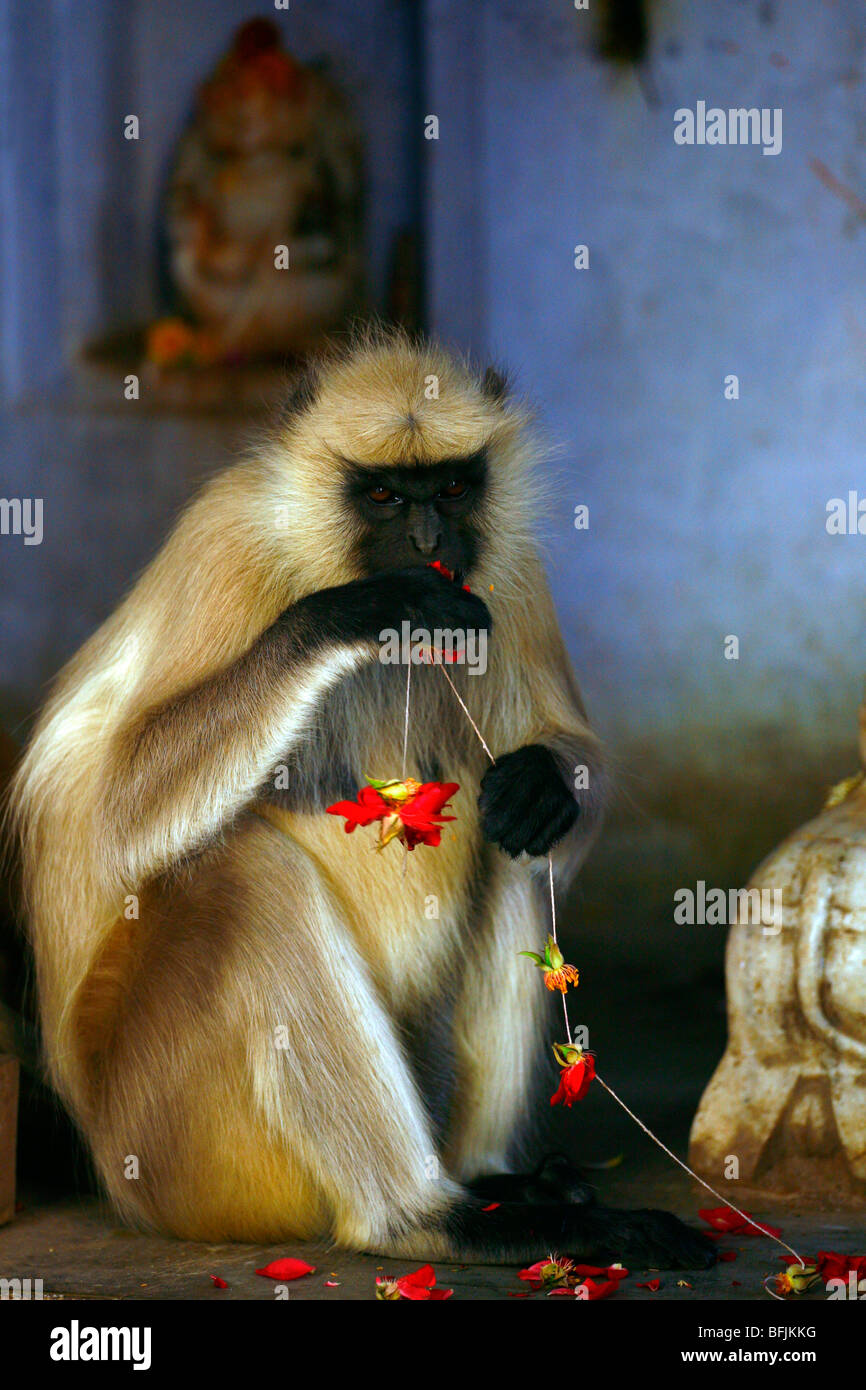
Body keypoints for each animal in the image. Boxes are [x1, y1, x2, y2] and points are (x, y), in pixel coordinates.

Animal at [8, 330, 715, 1269]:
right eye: (382, 494)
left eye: (449, 487)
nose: (426, 538)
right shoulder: (226, 542)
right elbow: (114, 814)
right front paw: (360, 612)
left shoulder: (505, 572)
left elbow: (557, 795)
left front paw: (544, 781)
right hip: (168, 1152)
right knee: (240, 872)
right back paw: (431, 1219)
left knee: (513, 855)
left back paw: (496, 1185)